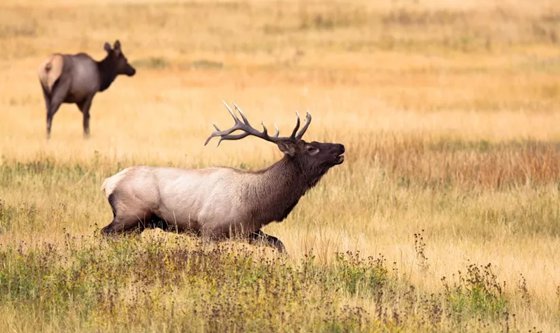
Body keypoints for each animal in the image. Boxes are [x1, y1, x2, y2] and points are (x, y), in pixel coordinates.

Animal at [100, 104, 346, 252]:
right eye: (312, 148)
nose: (341, 146)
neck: (256, 203)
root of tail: (108, 183)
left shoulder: (249, 231)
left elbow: (279, 244)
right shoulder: (210, 230)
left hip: (138, 224)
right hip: (130, 214)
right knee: (104, 233)